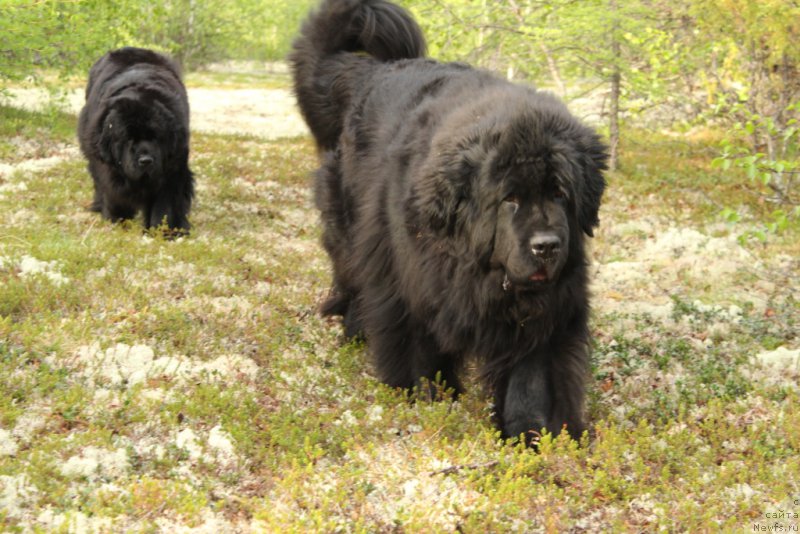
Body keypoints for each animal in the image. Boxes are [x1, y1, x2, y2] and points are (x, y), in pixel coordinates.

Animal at [77, 47, 195, 236]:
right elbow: (113, 191)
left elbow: (166, 203)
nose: (145, 160)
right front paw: (118, 219)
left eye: (156, 137)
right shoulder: (108, 168)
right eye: (127, 138)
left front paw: (165, 231)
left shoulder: (173, 167)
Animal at [290, 0, 608, 444]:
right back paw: (355, 332)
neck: (483, 274)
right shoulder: (411, 280)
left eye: (561, 193)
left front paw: (531, 435)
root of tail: (371, 71)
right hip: (353, 231)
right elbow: (417, 345)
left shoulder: (549, 312)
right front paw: (426, 397)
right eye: (509, 199)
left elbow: (532, 377)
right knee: (353, 280)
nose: (546, 245)